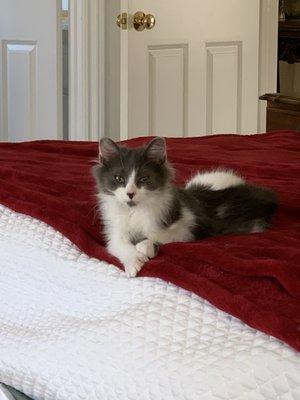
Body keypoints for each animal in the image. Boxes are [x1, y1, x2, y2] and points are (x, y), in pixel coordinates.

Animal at [92, 136, 278, 276]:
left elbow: (158, 237)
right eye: (119, 179)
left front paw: (145, 248)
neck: (134, 211)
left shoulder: (189, 225)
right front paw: (133, 262)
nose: (130, 193)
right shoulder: (115, 231)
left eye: (143, 179)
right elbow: (118, 245)